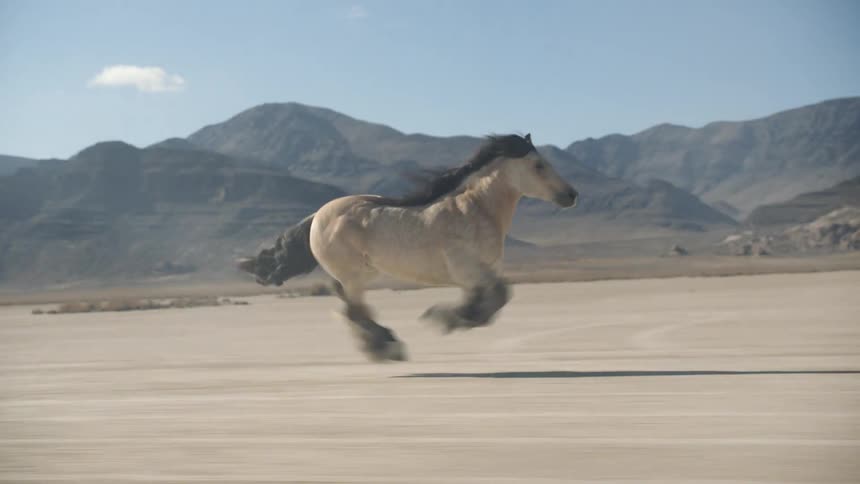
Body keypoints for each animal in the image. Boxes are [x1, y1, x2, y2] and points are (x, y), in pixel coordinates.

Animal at [238, 133, 578, 362]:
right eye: (538, 165)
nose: (571, 194)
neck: (475, 210)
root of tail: (317, 216)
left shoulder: (481, 274)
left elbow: (496, 297)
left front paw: (455, 317)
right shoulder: (468, 271)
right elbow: (498, 296)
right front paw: (445, 318)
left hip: (353, 275)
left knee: (348, 306)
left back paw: (385, 342)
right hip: (354, 275)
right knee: (353, 309)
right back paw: (388, 347)